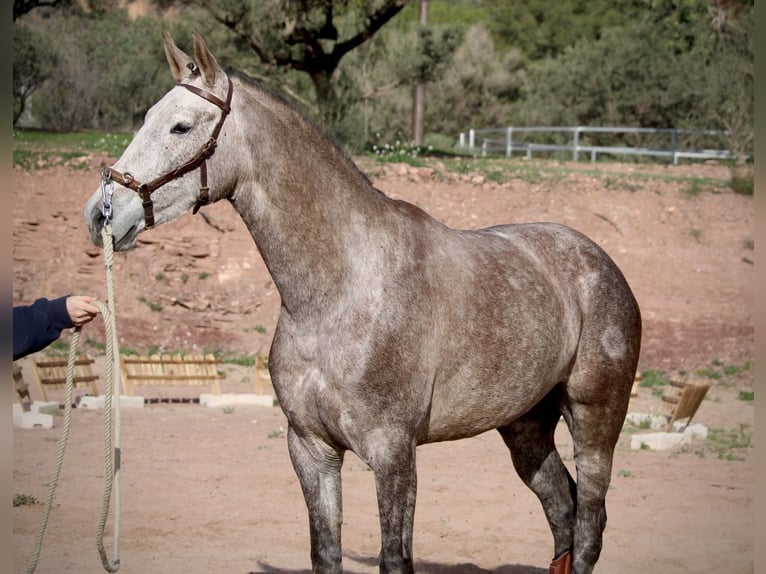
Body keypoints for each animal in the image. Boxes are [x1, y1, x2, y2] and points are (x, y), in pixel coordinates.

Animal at [84, 32, 640, 574]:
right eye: (147, 118)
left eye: (180, 126)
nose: (101, 214)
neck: (337, 294)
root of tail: (599, 261)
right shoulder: (311, 449)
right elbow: (325, 551)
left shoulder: (392, 452)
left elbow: (395, 558)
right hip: (525, 426)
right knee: (562, 512)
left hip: (595, 421)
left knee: (588, 525)